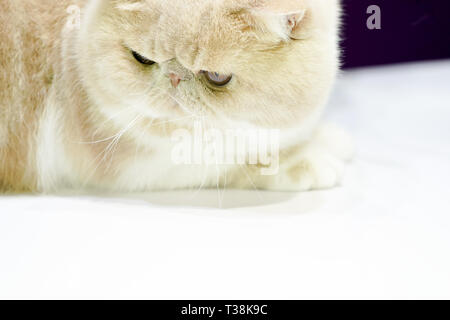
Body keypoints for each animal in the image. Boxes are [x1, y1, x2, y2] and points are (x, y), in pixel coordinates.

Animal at [0, 0, 352, 192]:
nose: (173, 77)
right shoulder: (133, 163)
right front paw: (307, 158)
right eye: (142, 58)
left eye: (217, 77)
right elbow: (234, 162)